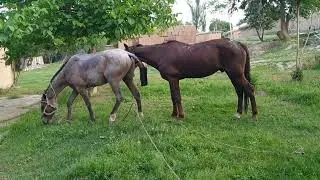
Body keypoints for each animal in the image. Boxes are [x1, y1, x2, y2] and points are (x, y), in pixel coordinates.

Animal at [124, 39, 258, 121]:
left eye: (127, 55)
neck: (161, 54)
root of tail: (238, 44)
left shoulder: (173, 79)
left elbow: (177, 97)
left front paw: (181, 116)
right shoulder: (171, 80)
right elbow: (173, 97)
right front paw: (174, 114)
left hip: (236, 74)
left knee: (249, 89)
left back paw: (254, 115)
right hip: (233, 75)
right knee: (240, 91)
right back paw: (238, 113)